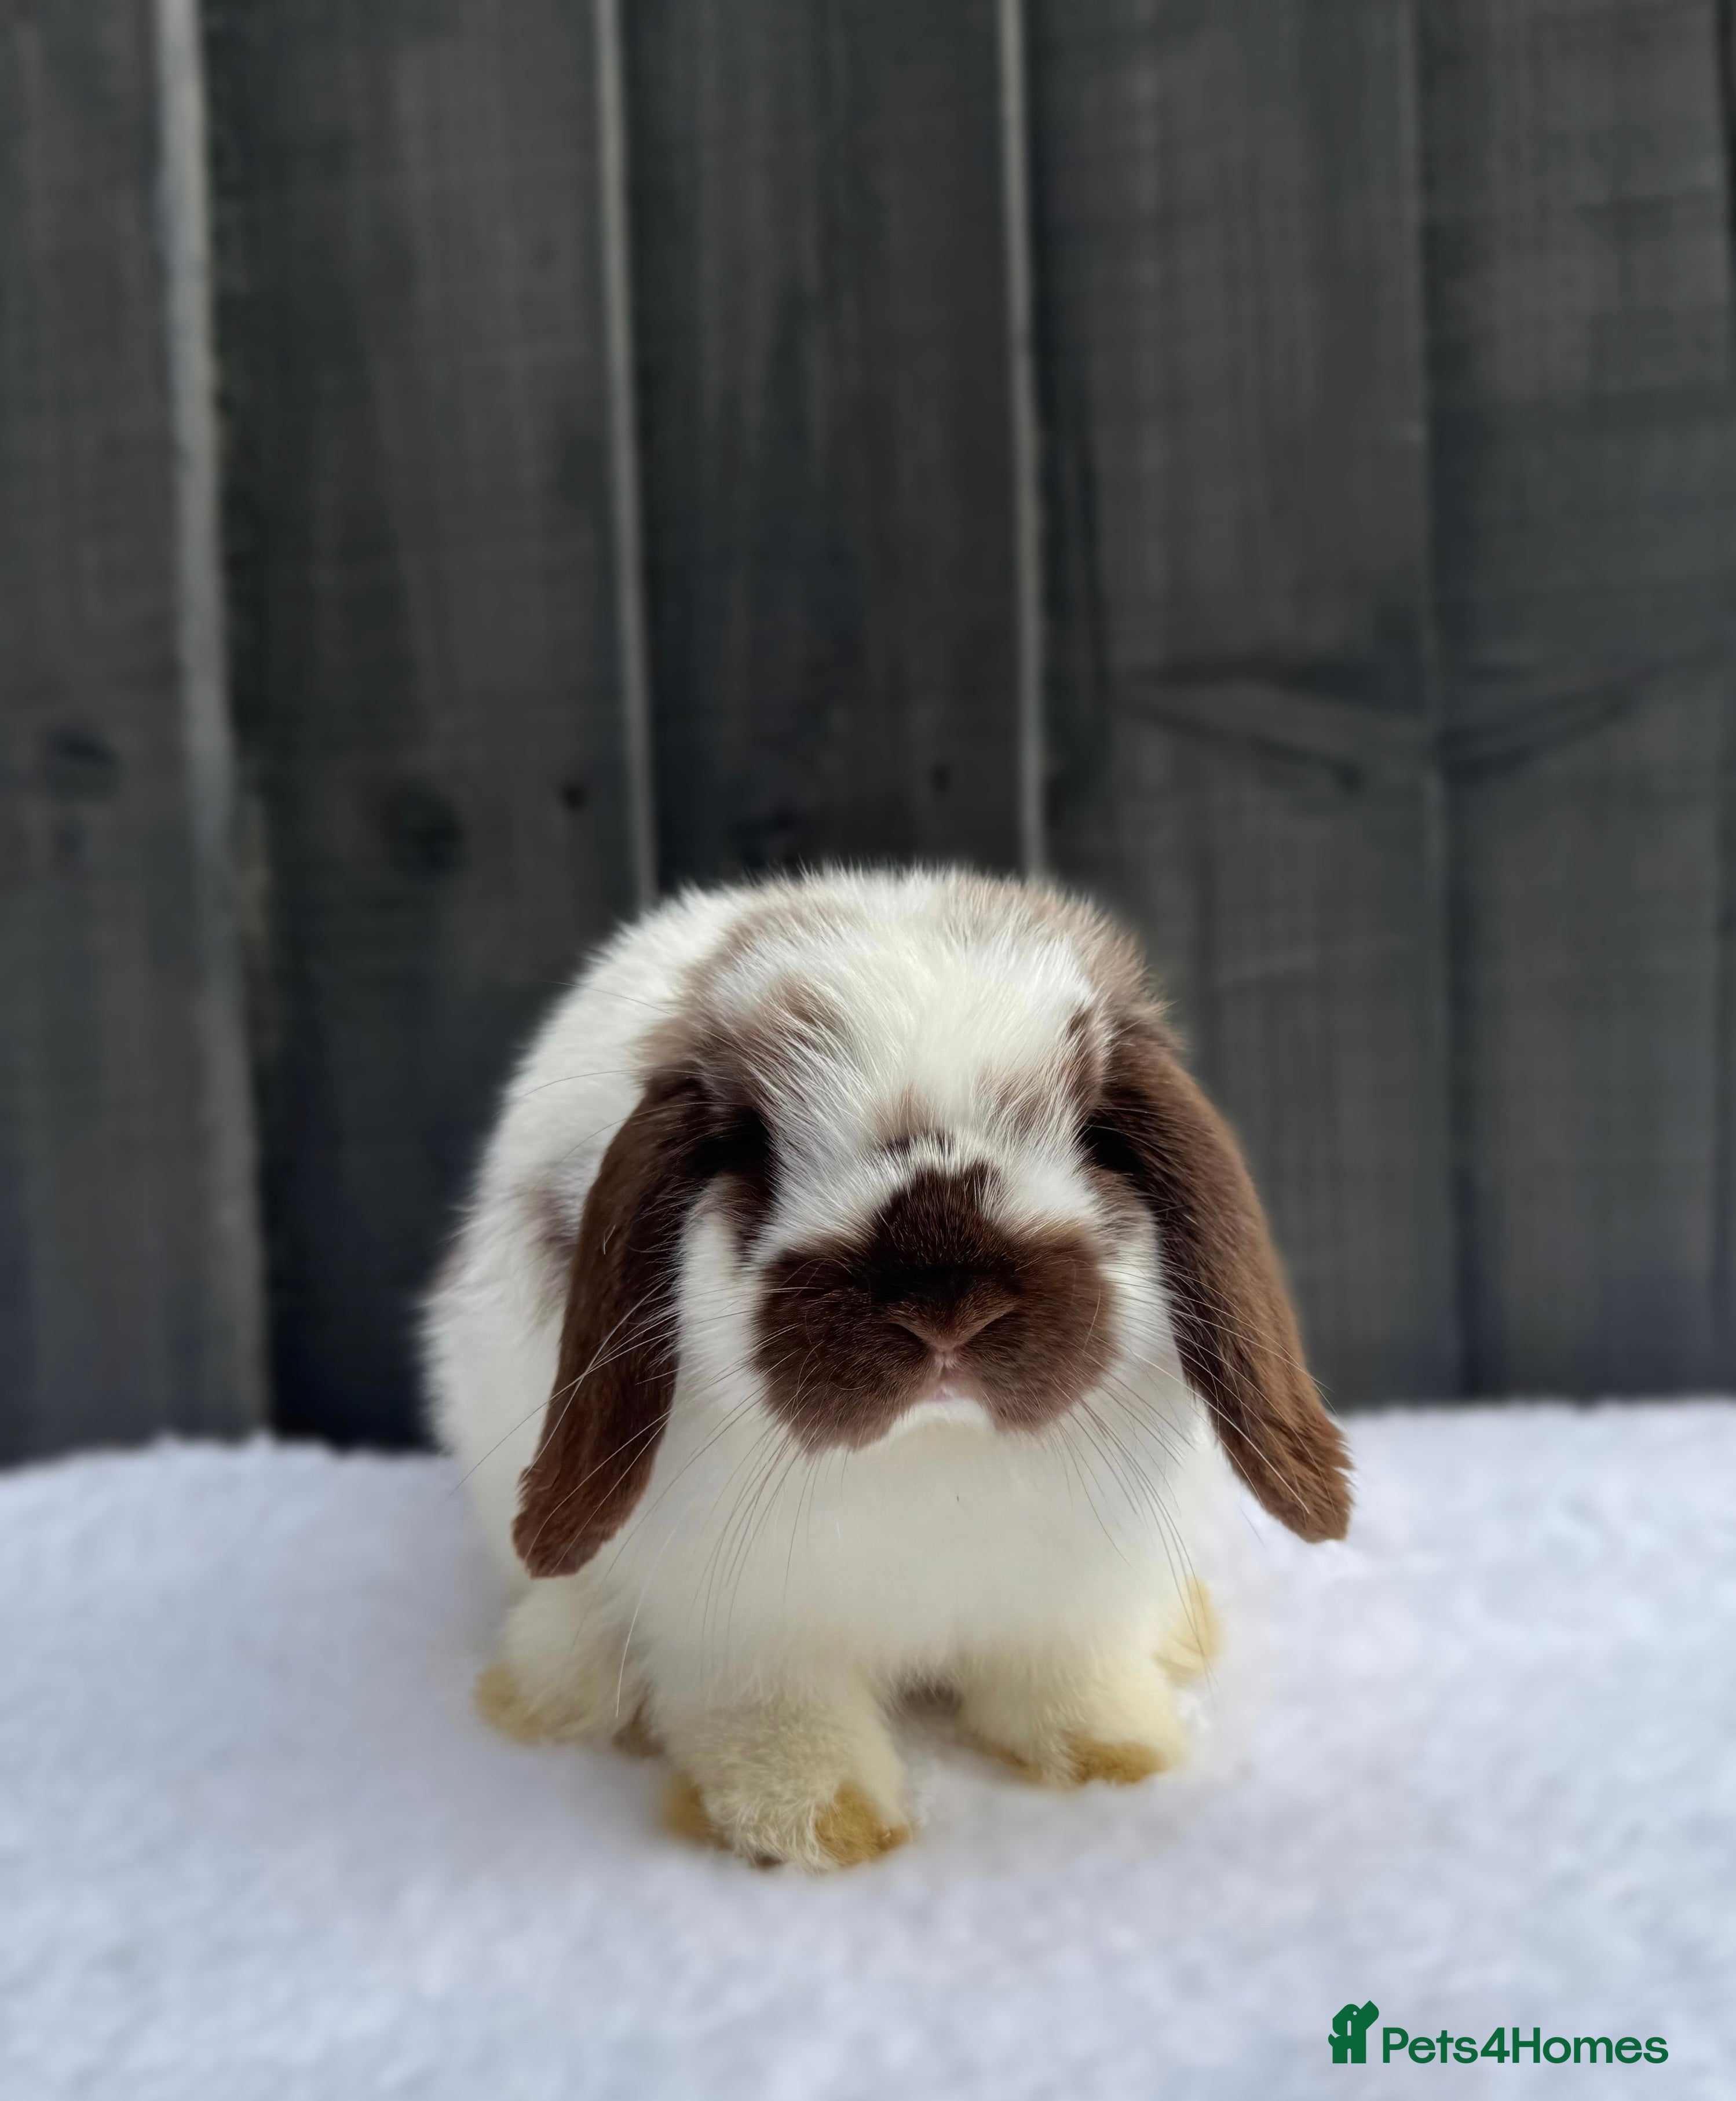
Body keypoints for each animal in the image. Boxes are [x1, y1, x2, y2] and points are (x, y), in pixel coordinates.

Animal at [425, 867, 1351, 1870]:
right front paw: (820, 1829)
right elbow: (779, 1727)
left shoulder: (1066, 1605)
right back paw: (559, 1687)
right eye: (751, 1144)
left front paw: (1117, 1756)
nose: (945, 1307)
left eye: (1096, 1135)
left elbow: (1070, 1682)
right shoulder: (746, 1640)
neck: (931, 1455)